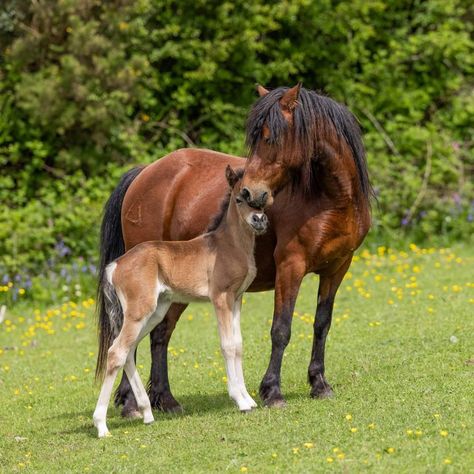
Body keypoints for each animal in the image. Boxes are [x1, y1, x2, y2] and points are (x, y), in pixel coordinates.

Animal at [93, 167, 266, 436]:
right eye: (239, 198)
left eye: (263, 199)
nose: (259, 220)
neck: (227, 245)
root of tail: (115, 265)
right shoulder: (220, 298)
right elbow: (227, 346)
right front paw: (240, 401)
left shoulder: (237, 298)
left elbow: (238, 344)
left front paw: (248, 398)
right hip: (139, 311)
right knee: (116, 352)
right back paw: (102, 425)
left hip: (155, 312)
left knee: (128, 351)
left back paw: (147, 413)